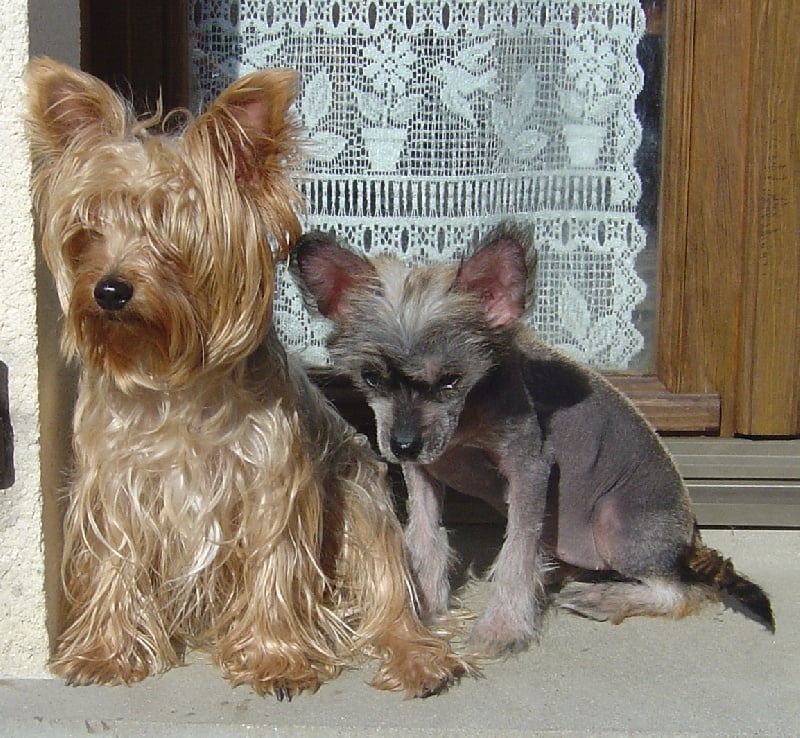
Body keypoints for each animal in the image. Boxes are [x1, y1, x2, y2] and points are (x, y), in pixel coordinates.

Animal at [25, 57, 471, 697]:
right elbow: (114, 556)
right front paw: (106, 651)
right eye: (90, 229)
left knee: (389, 591)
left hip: (359, 492)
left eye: (173, 231)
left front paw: (274, 658)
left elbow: (274, 560)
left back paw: (417, 658)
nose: (108, 290)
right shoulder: (114, 478)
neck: (174, 375)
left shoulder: (272, 480)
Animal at [291, 223, 775, 658]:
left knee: (681, 591)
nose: (403, 445)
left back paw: (604, 597)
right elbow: (425, 537)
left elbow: (517, 550)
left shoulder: (529, 469)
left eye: (450, 381)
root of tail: (691, 541)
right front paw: (423, 607)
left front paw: (503, 626)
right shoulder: (425, 473)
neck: (467, 418)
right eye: (371, 378)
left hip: (616, 526)